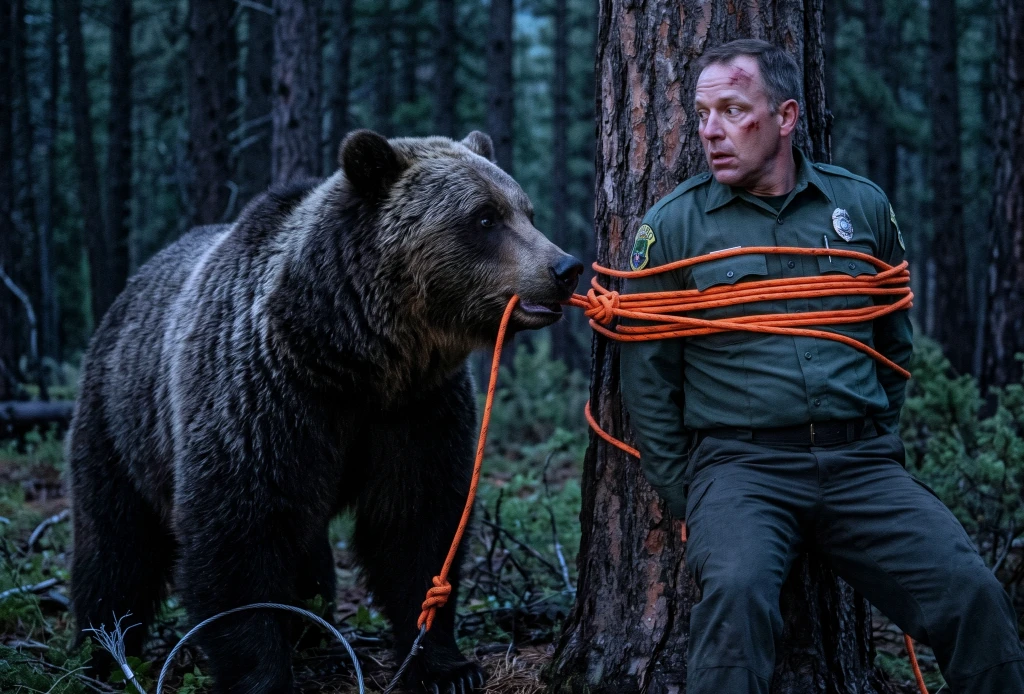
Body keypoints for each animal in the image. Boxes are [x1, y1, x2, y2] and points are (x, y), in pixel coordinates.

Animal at [66, 130, 583, 693]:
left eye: (525, 210)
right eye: (485, 217)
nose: (565, 268)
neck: (354, 356)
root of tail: (132, 285)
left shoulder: (417, 409)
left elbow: (418, 525)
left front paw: (446, 667)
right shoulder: (264, 400)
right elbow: (235, 533)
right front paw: (264, 676)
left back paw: (312, 631)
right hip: (119, 420)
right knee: (116, 545)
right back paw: (100, 650)